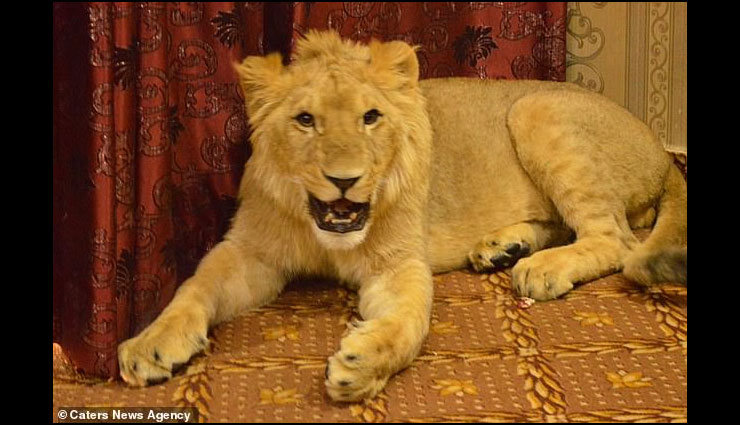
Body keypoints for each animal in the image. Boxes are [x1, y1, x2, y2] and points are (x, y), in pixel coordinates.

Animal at [118, 31, 687, 401]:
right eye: (305, 120)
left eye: (371, 117)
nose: (344, 179)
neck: (326, 234)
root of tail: (661, 151)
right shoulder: (250, 252)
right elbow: (194, 288)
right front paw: (149, 345)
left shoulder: (397, 264)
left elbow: (409, 320)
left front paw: (363, 364)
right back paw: (502, 246)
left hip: (536, 108)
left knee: (616, 238)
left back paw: (541, 267)